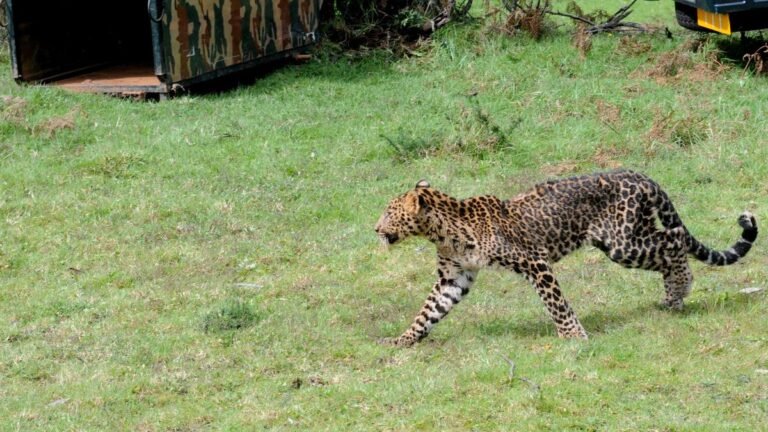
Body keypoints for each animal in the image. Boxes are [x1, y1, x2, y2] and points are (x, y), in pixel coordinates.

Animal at [374, 170, 758, 347]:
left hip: (622, 242)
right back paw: (672, 297)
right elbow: (428, 311)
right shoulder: (454, 277)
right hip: (627, 239)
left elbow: (556, 303)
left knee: (675, 238)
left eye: (390, 212)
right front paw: (401, 341)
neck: (444, 232)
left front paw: (574, 337)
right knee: (670, 246)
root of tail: (638, 174)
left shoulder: (535, 263)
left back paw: (680, 289)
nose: (375, 228)